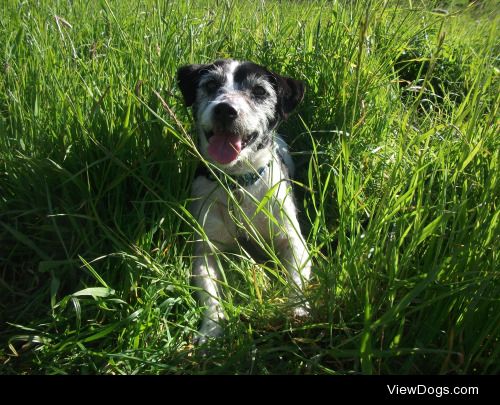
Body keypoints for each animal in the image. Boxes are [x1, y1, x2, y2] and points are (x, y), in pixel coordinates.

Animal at [176, 59, 308, 340]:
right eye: (211, 84)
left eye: (259, 91)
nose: (225, 109)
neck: (237, 184)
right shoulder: (206, 248)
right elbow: (210, 293)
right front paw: (211, 329)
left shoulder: (293, 240)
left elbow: (297, 278)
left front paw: (298, 310)